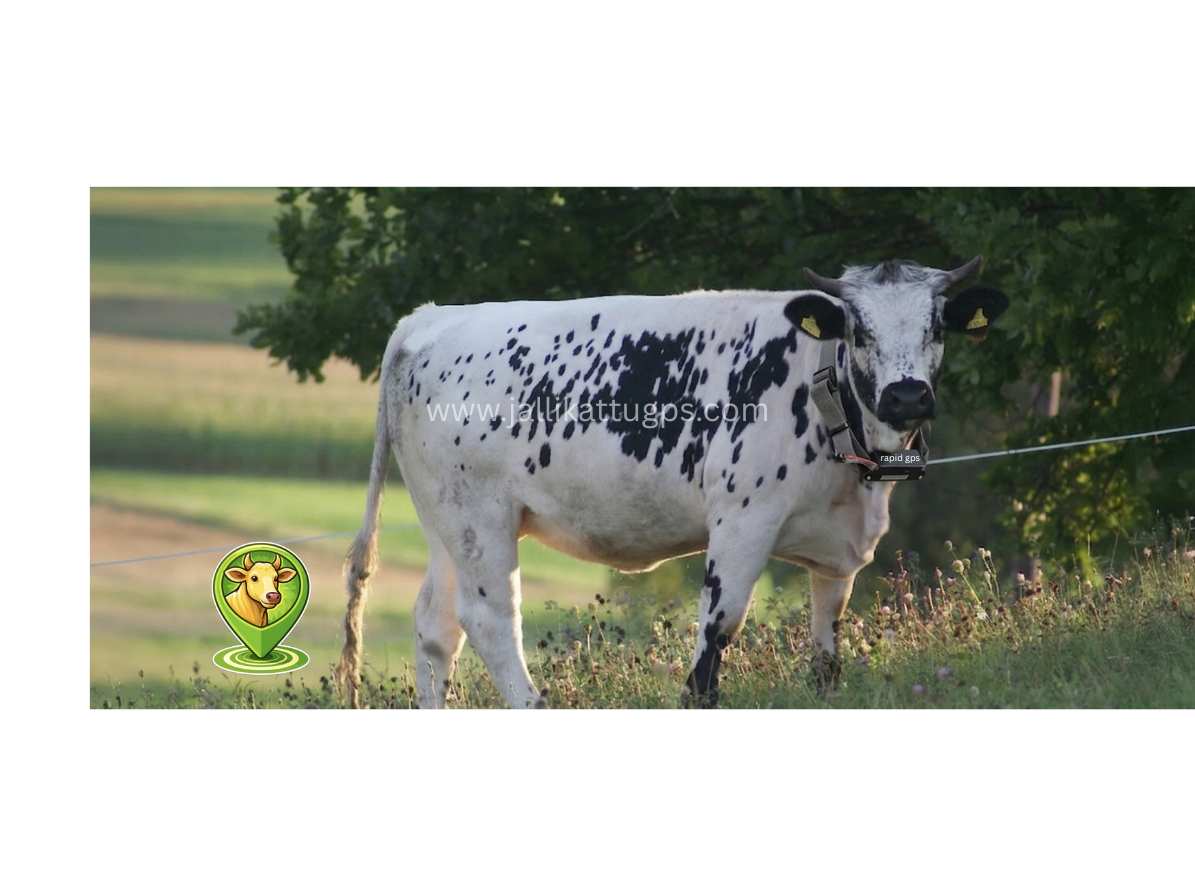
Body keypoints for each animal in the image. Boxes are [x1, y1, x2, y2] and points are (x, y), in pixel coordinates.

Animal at [336, 256, 1009, 708]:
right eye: (859, 331)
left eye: (937, 328)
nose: (907, 396)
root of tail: (431, 319)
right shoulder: (743, 519)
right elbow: (719, 628)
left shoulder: (837, 545)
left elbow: (826, 644)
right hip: (480, 520)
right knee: (490, 619)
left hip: (444, 524)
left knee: (435, 627)